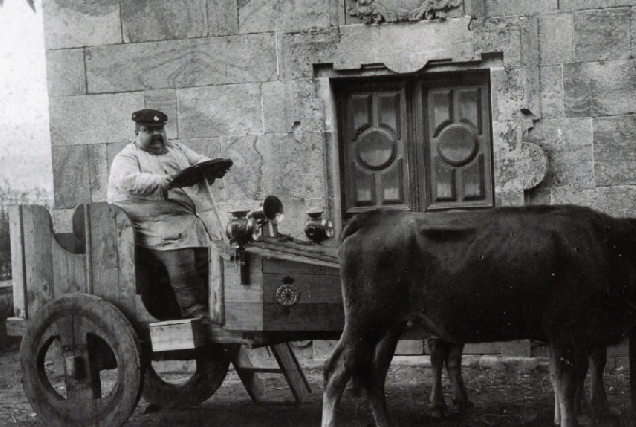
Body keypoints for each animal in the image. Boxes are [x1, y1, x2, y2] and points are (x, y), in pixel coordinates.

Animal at [322, 206, 636, 427]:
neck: (605, 246)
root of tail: (374, 217)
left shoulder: (560, 340)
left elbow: (558, 385)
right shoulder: (570, 335)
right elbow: (569, 390)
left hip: (388, 329)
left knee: (373, 376)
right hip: (364, 324)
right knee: (335, 372)